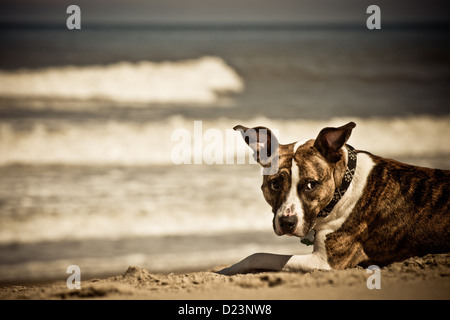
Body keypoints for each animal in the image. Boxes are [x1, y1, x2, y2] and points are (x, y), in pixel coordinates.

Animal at [217, 122, 446, 276]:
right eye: (274, 184)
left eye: (311, 185)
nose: (287, 222)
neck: (344, 187)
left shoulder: (324, 263)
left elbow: (257, 255)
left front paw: (224, 271)